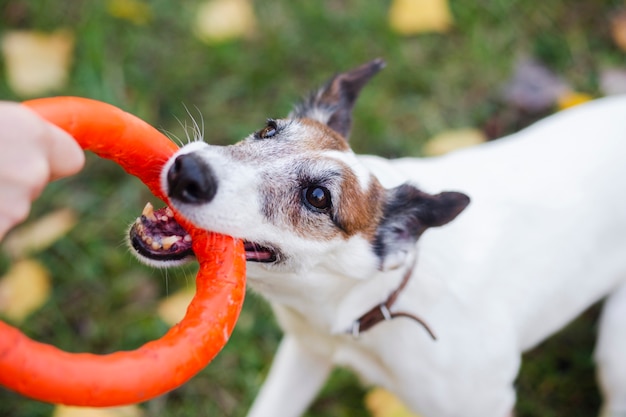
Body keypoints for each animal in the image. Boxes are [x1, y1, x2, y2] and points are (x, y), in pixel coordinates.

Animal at [128, 59, 624, 416]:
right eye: (268, 128)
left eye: (318, 197)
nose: (187, 172)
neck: (374, 300)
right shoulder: (305, 353)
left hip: (613, 353)